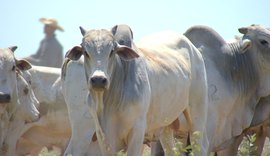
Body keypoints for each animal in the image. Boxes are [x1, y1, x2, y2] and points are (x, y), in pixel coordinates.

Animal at [65, 25, 209, 155]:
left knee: (200, 146)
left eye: (112, 51)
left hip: (197, 114)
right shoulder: (103, 136)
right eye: (85, 52)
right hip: (165, 125)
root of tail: (194, 49)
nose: (98, 80)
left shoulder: (137, 130)